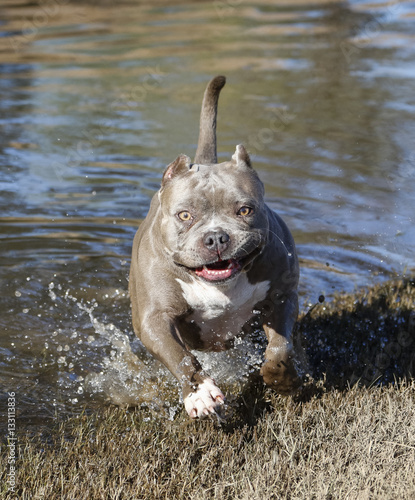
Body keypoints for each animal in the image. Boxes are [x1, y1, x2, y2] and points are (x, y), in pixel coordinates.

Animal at [130, 74, 302, 418]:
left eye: (245, 210)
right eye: (185, 215)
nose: (216, 237)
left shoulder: (282, 296)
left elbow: (281, 346)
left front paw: (281, 377)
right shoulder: (154, 319)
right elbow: (180, 356)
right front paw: (200, 393)